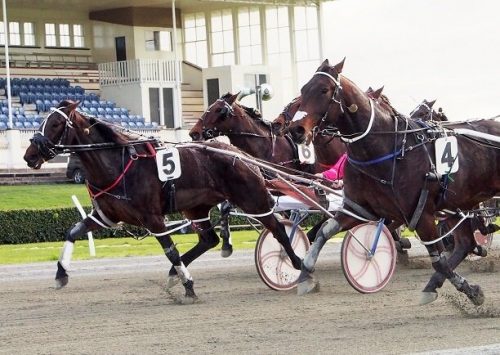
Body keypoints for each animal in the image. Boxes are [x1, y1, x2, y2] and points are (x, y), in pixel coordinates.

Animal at [23, 100, 302, 304]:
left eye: (56, 123)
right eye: (43, 121)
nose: (30, 155)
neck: (117, 164)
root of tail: (241, 154)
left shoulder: (153, 218)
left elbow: (170, 250)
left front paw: (189, 286)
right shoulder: (106, 216)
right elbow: (72, 232)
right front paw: (61, 274)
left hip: (253, 199)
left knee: (278, 229)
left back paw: (298, 265)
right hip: (196, 207)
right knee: (209, 239)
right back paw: (175, 273)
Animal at [288, 58, 498, 306]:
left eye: (324, 90)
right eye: (303, 90)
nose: (296, 129)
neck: (386, 148)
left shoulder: (421, 214)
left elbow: (438, 260)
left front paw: (471, 290)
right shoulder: (360, 209)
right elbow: (324, 231)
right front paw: (305, 273)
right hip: (459, 204)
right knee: (465, 243)